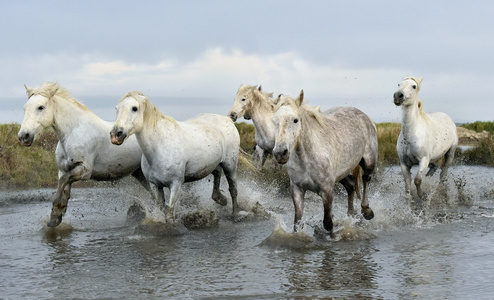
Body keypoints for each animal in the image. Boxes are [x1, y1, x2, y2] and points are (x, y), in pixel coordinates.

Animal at [19, 82, 147, 227]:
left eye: (41, 107)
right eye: (25, 108)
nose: (23, 136)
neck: (73, 132)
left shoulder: (84, 170)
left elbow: (62, 183)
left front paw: (55, 212)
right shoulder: (63, 170)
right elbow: (64, 188)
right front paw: (56, 217)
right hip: (140, 174)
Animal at [110, 90, 241, 221]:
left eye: (134, 108)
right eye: (117, 108)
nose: (115, 134)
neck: (159, 147)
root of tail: (227, 119)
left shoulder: (175, 184)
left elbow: (170, 213)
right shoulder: (155, 185)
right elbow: (162, 209)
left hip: (230, 165)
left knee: (233, 189)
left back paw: (235, 214)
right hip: (215, 164)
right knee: (217, 175)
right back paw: (220, 199)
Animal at [272, 91, 376, 234]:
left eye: (295, 120)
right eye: (274, 121)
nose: (280, 153)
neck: (307, 159)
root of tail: (365, 116)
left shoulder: (327, 190)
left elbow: (328, 223)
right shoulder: (297, 189)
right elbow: (297, 224)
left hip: (369, 162)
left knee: (366, 179)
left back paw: (366, 211)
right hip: (341, 174)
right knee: (350, 186)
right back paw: (351, 214)